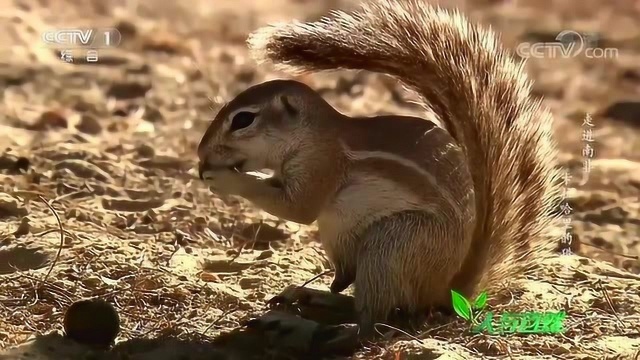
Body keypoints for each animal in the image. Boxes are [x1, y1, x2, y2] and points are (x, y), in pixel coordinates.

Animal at [198, 0, 564, 338]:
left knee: (371, 321)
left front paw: (224, 178)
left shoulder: (322, 165)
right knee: (352, 291)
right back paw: (308, 297)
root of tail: (447, 290)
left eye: (243, 120)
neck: (314, 133)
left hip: (391, 244)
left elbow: (297, 208)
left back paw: (316, 325)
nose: (201, 154)